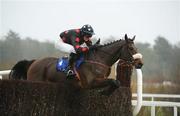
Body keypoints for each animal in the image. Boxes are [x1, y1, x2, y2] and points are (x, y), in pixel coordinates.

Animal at [9, 34, 140, 95]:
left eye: (136, 48)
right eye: (131, 48)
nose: (140, 63)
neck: (99, 59)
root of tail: (34, 62)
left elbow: (116, 82)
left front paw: (105, 92)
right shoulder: (88, 83)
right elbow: (114, 81)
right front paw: (104, 92)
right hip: (36, 81)